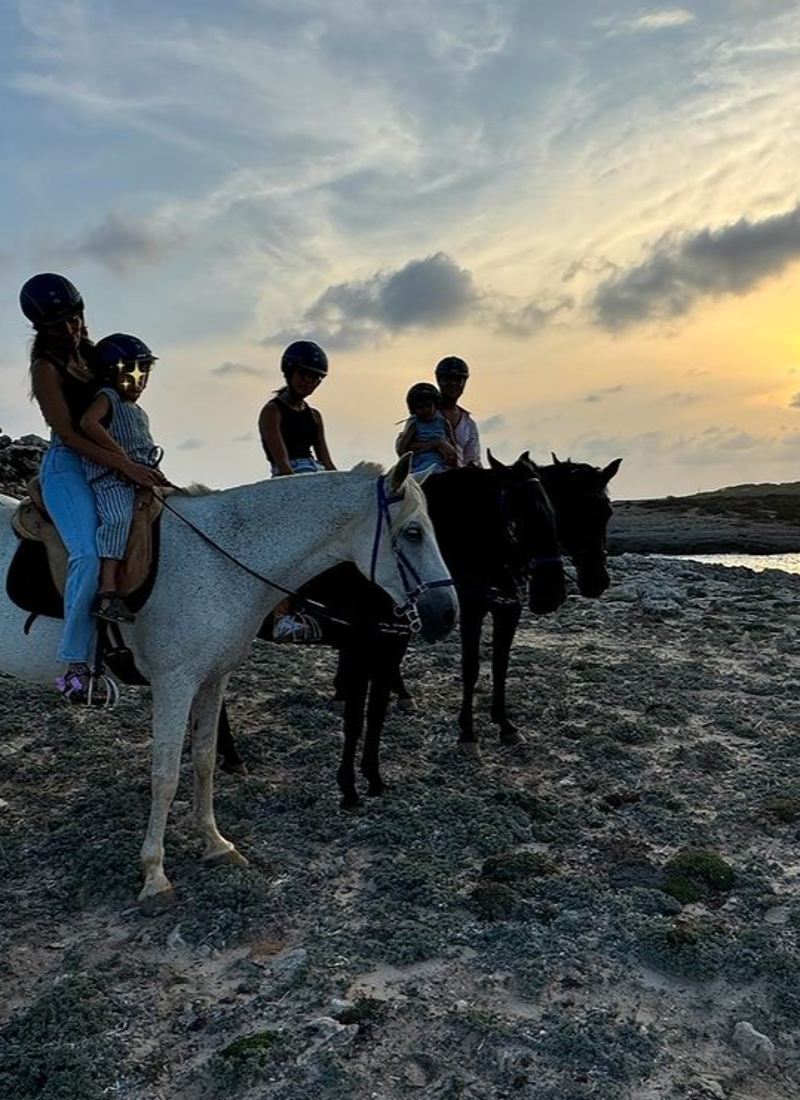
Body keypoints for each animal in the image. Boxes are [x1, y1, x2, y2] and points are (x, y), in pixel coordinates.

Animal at [0, 457, 457, 910]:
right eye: (413, 532)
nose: (447, 614)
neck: (218, 562)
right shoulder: (174, 683)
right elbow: (165, 776)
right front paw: (155, 875)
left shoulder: (213, 677)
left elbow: (204, 758)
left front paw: (215, 844)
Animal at [215, 455, 567, 809]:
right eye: (518, 523)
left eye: (553, 513)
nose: (553, 594)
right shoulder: (359, 648)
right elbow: (356, 719)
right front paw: (349, 789)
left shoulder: (391, 644)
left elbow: (377, 714)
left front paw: (373, 778)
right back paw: (230, 755)